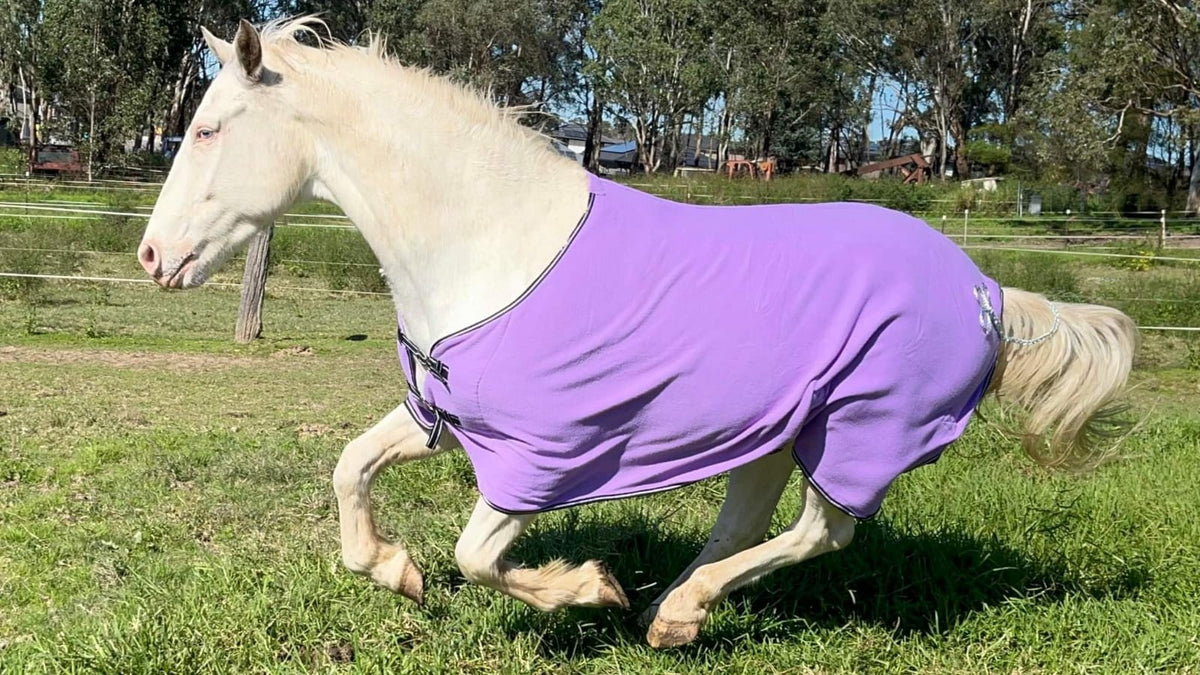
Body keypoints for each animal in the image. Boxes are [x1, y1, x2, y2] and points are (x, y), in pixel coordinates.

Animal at [136, 18, 1138, 649]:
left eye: (210, 128)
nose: (153, 256)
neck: (492, 240)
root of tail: (989, 288)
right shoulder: (445, 415)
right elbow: (350, 469)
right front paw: (396, 572)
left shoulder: (545, 454)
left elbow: (478, 553)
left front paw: (585, 586)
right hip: (781, 425)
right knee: (750, 519)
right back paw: (674, 608)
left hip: (859, 430)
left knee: (822, 531)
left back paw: (669, 608)